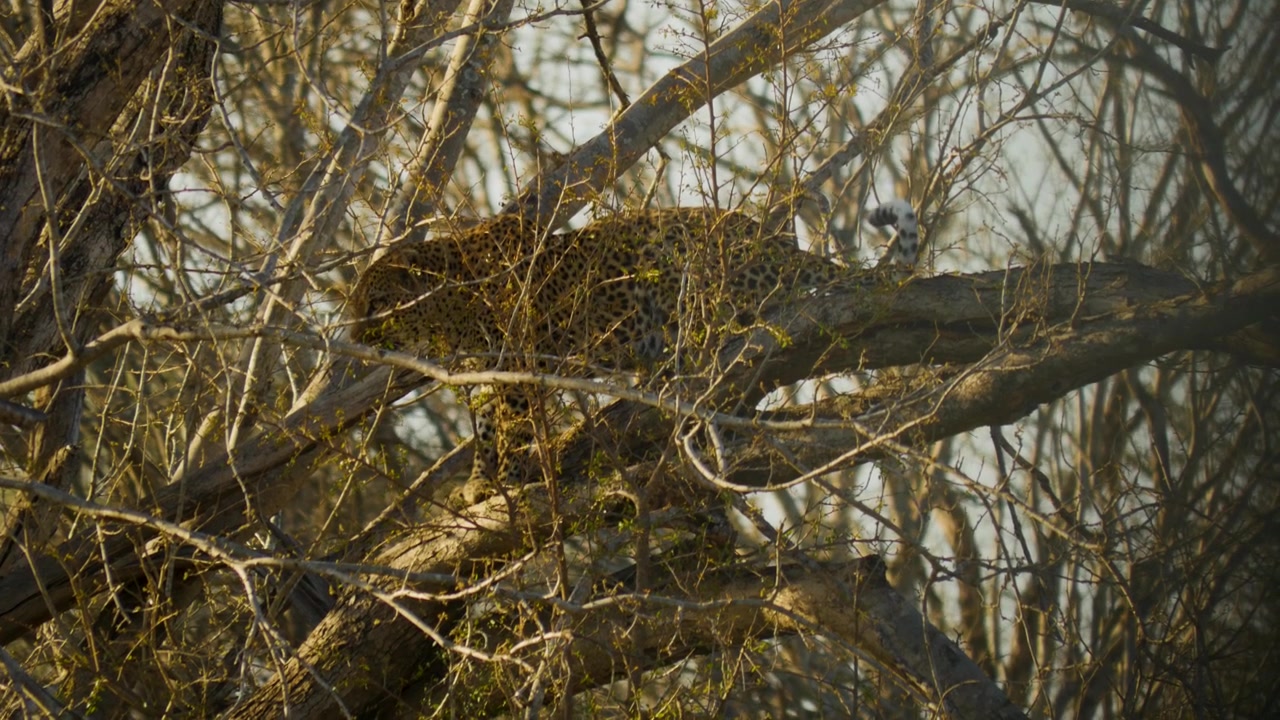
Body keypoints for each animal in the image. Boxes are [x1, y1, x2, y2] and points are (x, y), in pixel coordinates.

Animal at [351, 201, 919, 494]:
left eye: (374, 305)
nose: (354, 339)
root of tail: (781, 245)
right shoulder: (491, 369)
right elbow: (489, 424)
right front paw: (477, 483)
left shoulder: (519, 364)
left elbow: (512, 427)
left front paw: (507, 481)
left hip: (683, 262)